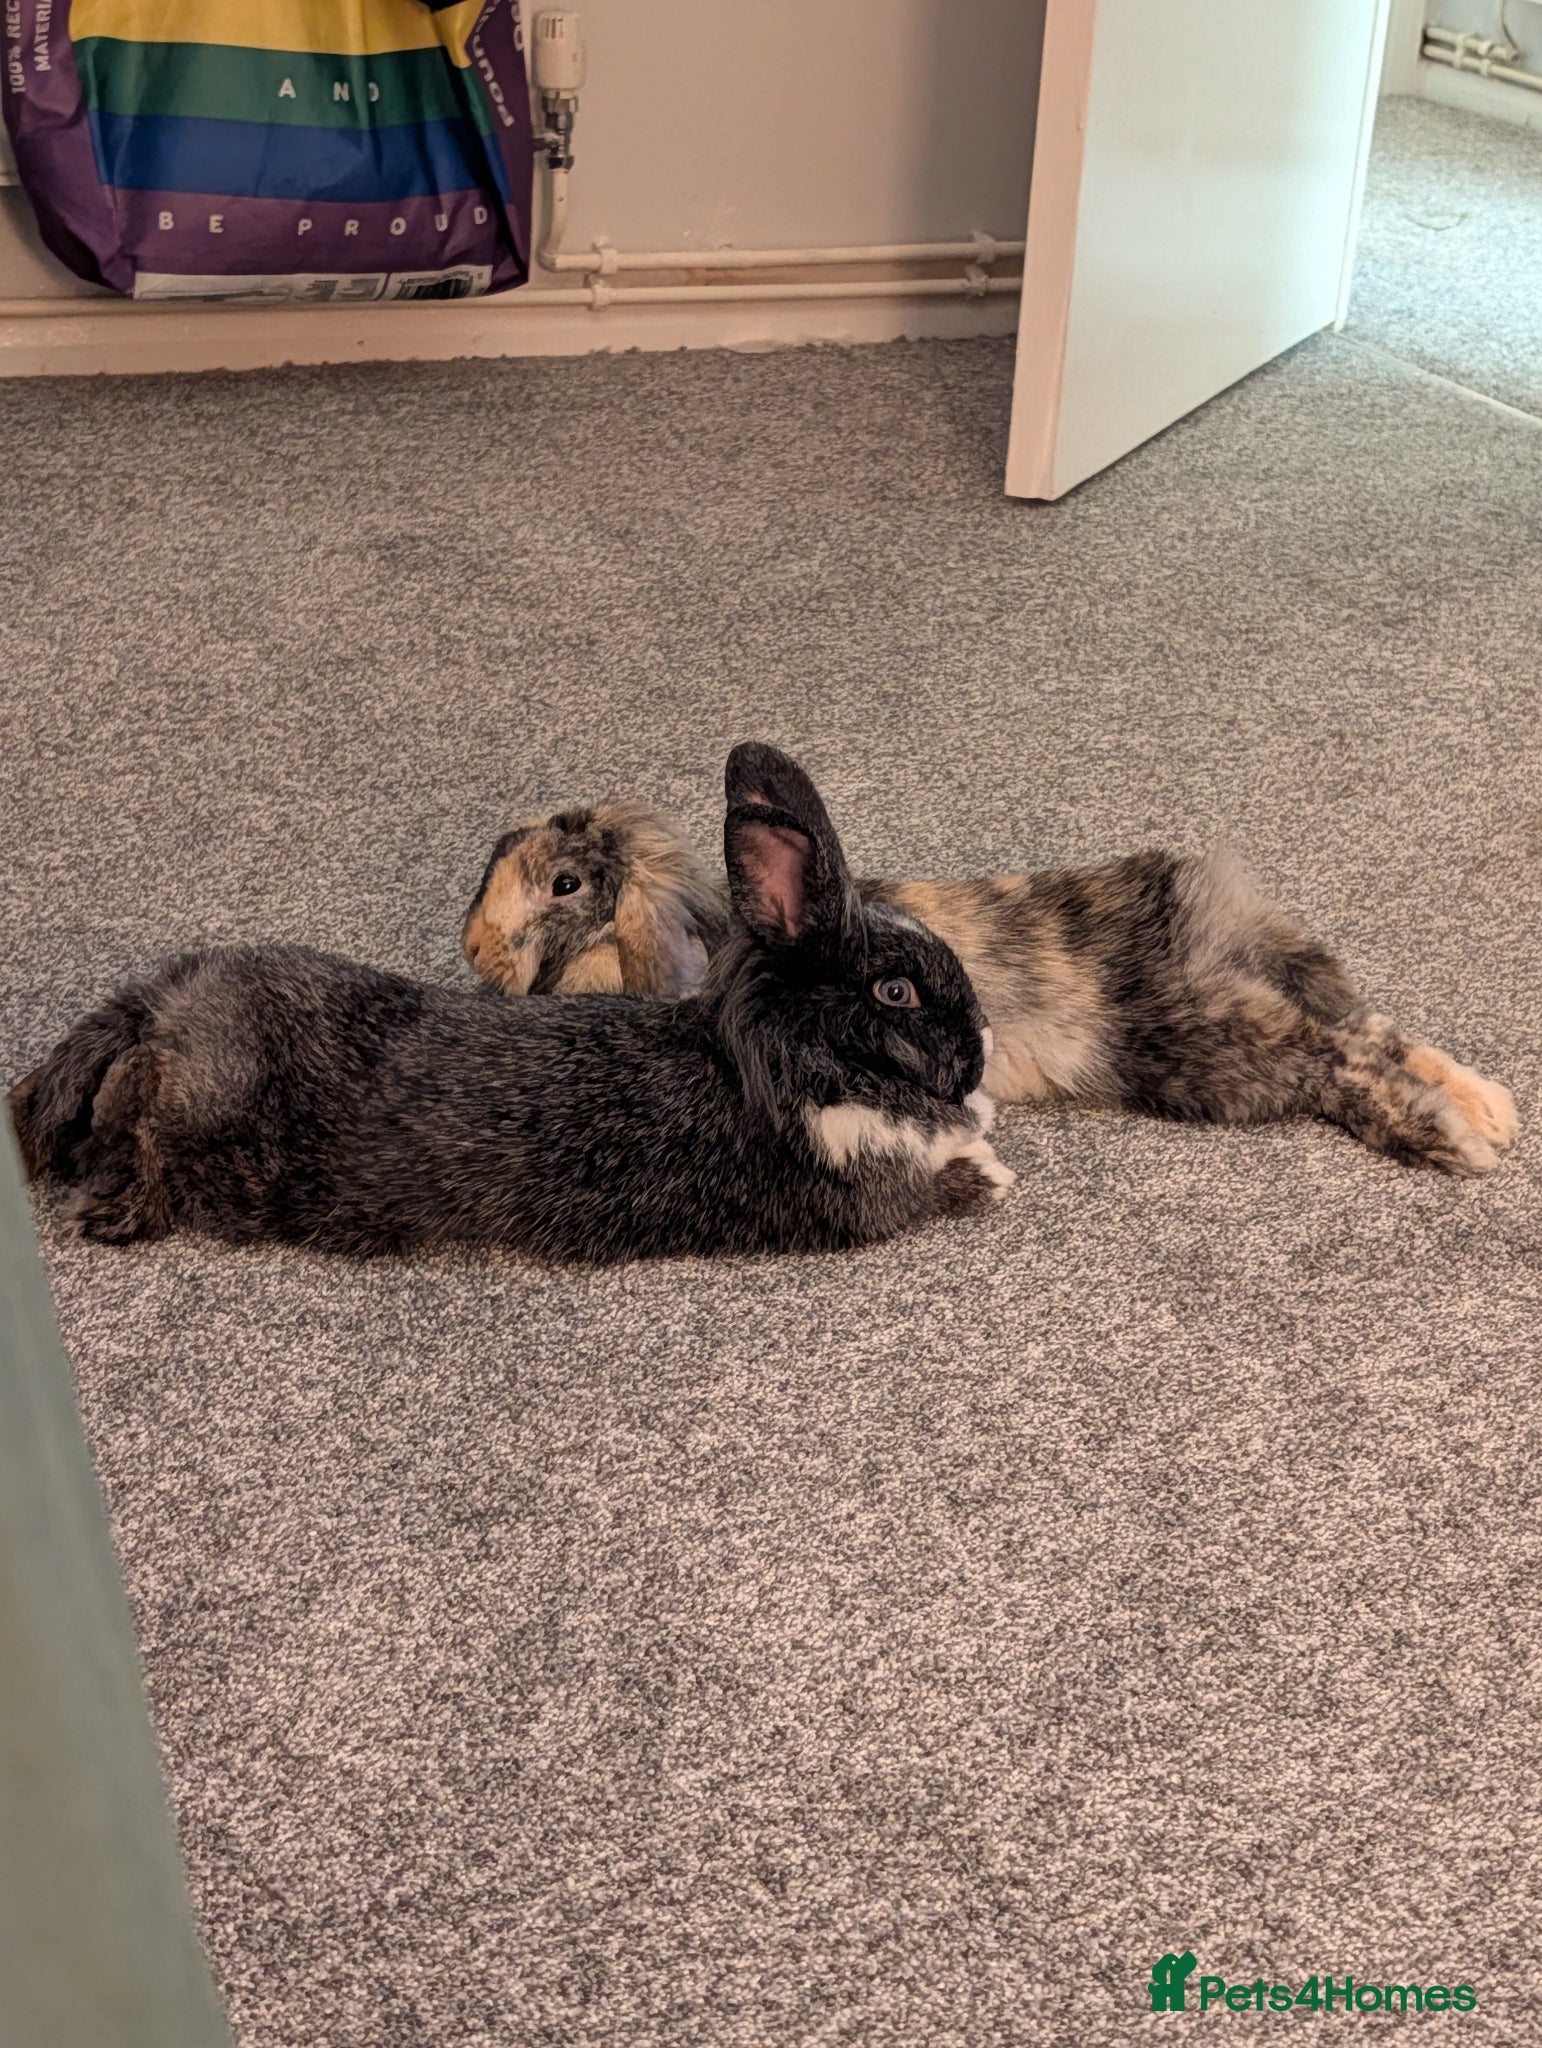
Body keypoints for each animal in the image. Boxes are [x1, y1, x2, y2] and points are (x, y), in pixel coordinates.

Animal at [8, 745, 1013, 1262]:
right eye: (895, 991)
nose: (980, 1050)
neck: (793, 1053)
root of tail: (169, 994)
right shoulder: (862, 1193)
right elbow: (928, 1192)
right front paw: (991, 1177)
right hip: (211, 1118)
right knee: (140, 1118)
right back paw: (118, 1211)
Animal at [463, 778, 1517, 1179]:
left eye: (564, 885)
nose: (474, 953)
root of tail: (1207, 912)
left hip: (1208, 1047)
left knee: (1342, 1062)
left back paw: (1458, 1142)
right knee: (1368, 1032)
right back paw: (1495, 1111)